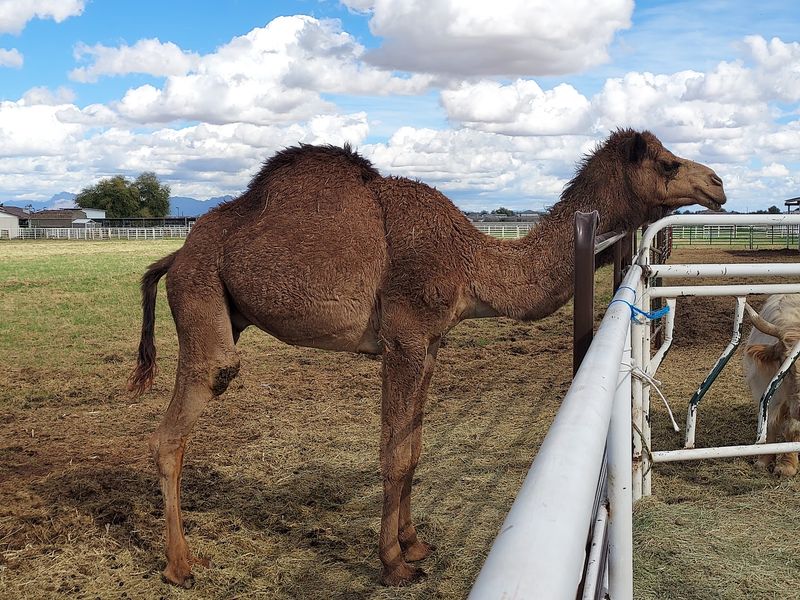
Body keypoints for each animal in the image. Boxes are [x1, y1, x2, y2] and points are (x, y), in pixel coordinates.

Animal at [129, 129, 726, 587]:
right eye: (668, 162)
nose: (718, 183)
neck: (471, 260)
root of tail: (175, 253)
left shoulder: (432, 343)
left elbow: (413, 449)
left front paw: (413, 544)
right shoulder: (404, 338)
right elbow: (393, 454)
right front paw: (393, 564)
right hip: (201, 294)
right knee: (178, 422)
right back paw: (181, 565)